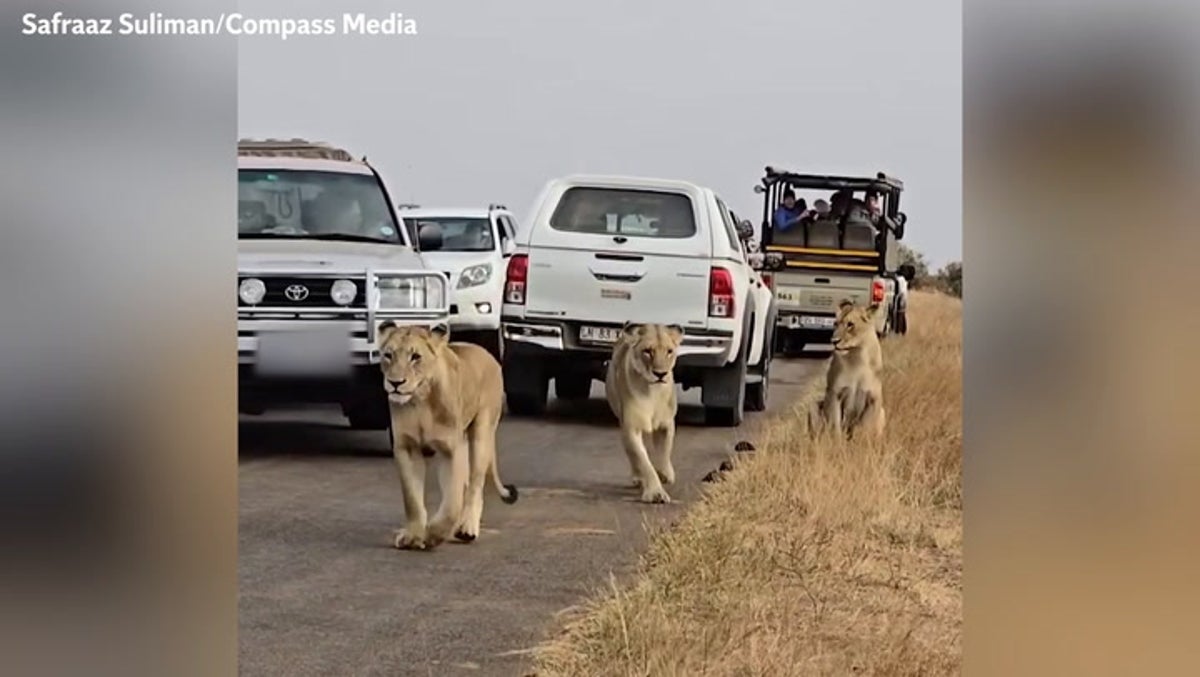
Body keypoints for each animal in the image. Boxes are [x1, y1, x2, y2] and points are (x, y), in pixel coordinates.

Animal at [376, 321, 518, 549]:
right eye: (388, 355)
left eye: (415, 356)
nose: (395, 383)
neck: (420, 401)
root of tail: (488, 353)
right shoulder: (407, 448)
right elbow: (412, 498)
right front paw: (413, 535)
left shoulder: (450, 449)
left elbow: (452, 501)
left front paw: (434, 534)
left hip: (481, 432)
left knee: (475, 484)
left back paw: (467, 528)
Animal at [600, 321, 686, 501]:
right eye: (647, 351)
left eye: (669, 351)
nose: (660, 374)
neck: (652, 391)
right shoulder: (631, 427)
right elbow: (643, 461)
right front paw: (656, 492)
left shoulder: (666, 425)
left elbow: (663, 452)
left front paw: (665, 474)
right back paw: (638, 478)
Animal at [811, 300, 888, 439]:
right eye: (835, 324)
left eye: (850, 324)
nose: (834, 341)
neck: (857, 357)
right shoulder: (835, 393)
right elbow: (835, 425)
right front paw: (836, 442)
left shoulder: (873, 398)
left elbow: (865, 428)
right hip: (813, 405)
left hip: (882, 412)